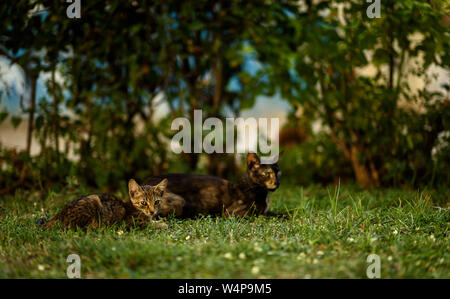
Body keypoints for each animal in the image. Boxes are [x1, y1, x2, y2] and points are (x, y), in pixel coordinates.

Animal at [37, 179, 169, 231]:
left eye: (156, 202)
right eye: (143, 203)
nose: (152, 211)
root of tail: (57, 216)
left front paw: (158, 220)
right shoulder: (132, 224)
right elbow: (150, 224)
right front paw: (162, 224)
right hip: (93, 200)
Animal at [144, 154, 282, 219]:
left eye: (279, 173)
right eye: (267, 173)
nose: (277, 183)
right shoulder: (233, 213)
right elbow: (268, 215)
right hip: (179, 200)